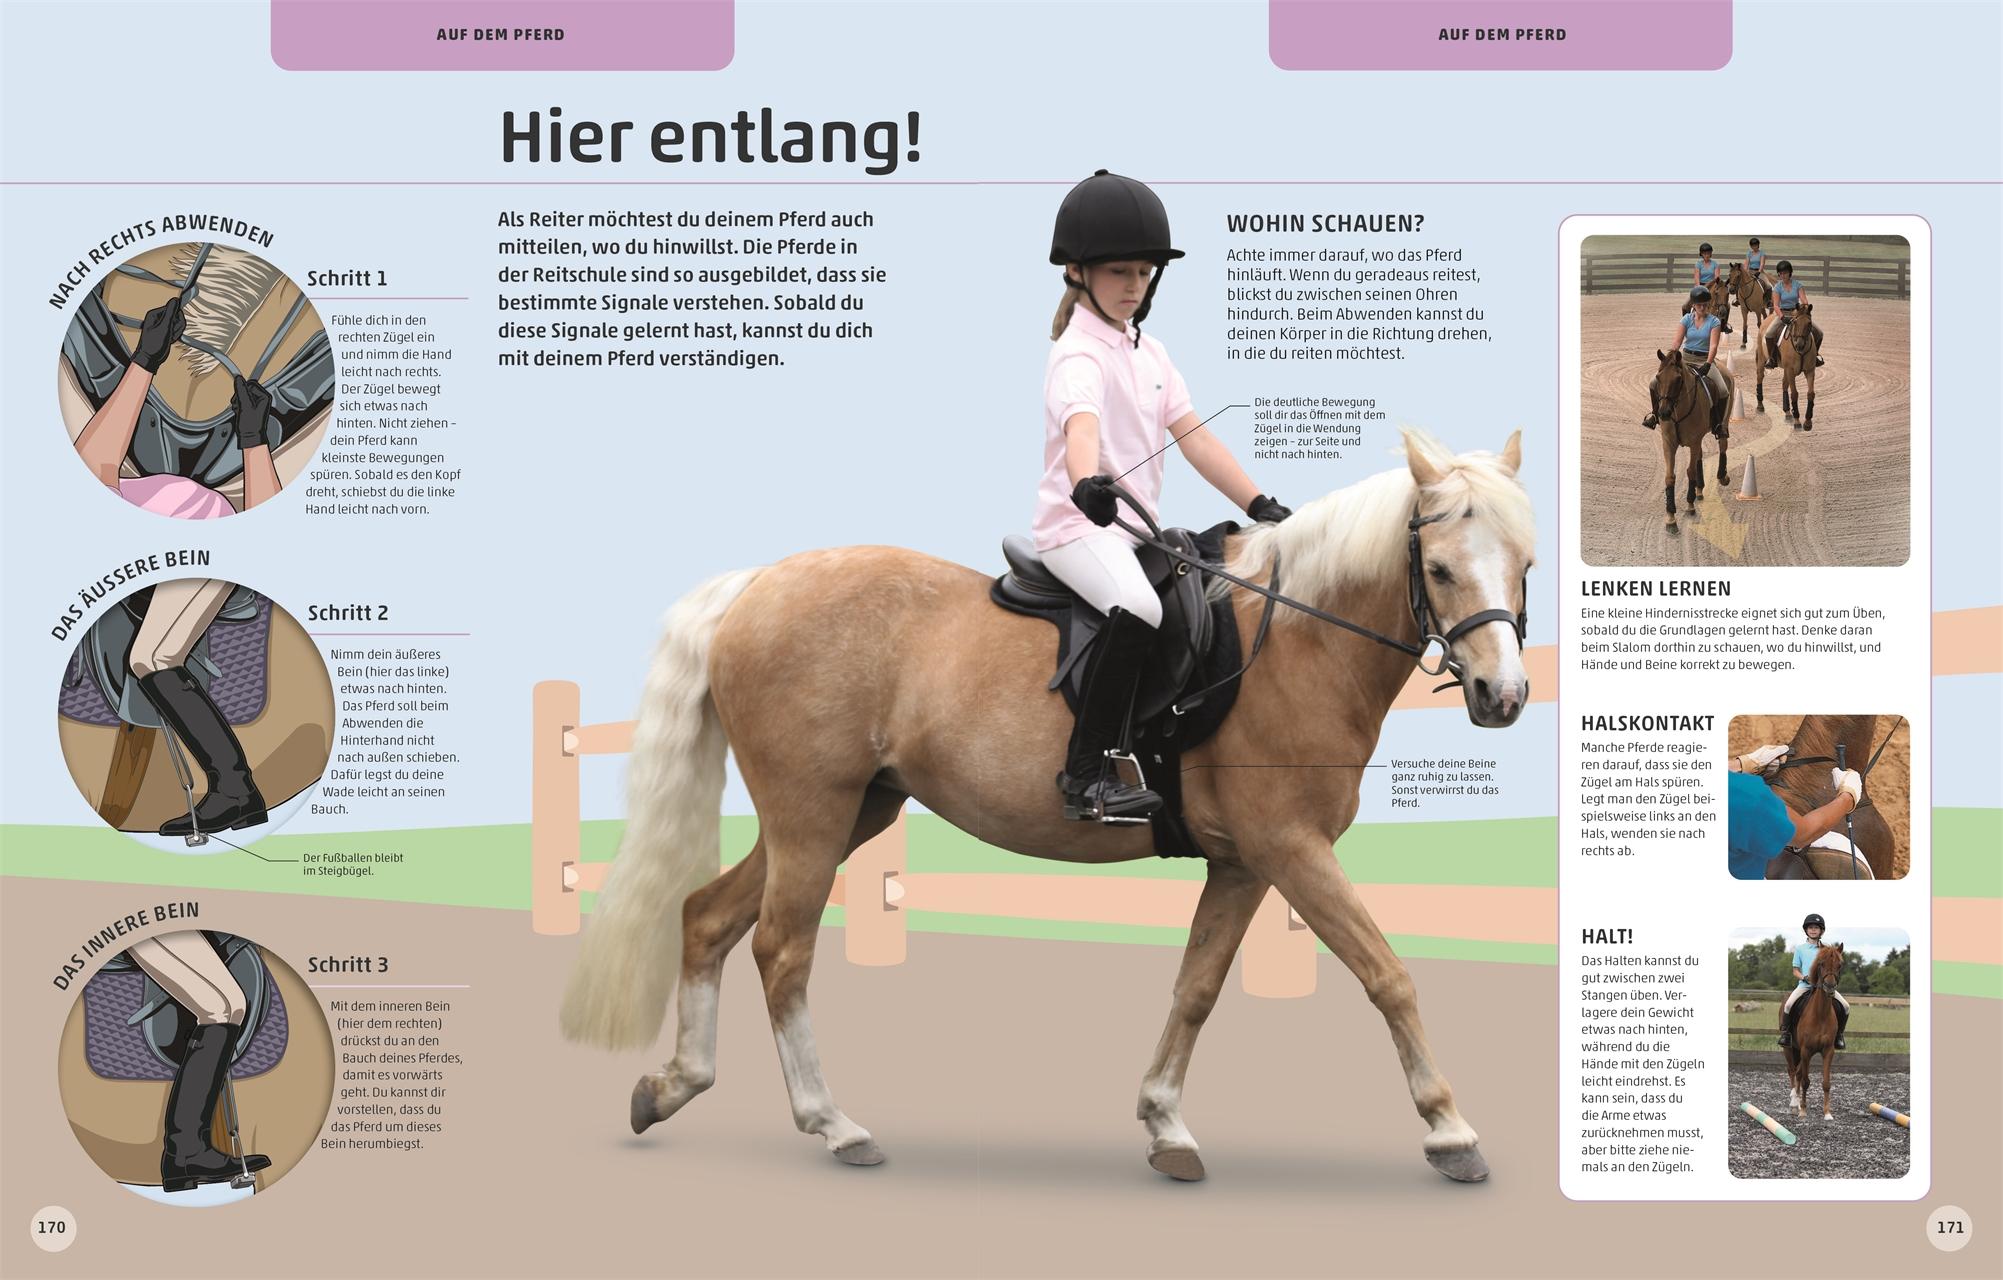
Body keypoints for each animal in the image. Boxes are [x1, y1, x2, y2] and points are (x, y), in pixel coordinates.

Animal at [559, 428, 1534, 1185]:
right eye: (1438, 568)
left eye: (1525, 564)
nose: (1503, 696)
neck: (1294, 639)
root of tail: (755, 584)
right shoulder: (1291, 848)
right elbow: (1386, 973)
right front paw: (1449, 1131)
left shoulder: (1241, 862)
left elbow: (1196, 988)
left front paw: (1164, 1123)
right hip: (812, 813)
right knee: (781, 949)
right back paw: (833, 1124)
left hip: (847, 813)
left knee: (706, 916)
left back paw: (671, 1086)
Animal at [1648, 348, 1732, 532]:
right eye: (1658, 377)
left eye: (1678, 379)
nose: (1663, 413)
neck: (1678, 410)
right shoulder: (1668, 444)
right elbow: (1670, 477)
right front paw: (1671, 517)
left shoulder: (1693, 441)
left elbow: (1690, 471)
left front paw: (1689, 505)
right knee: (1700, 456)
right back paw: (1699, 489)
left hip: (1724, 419)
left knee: (1723, 444)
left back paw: (1722, 477)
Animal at [1782, 943, 1844, 1120]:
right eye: (1821, 964)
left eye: (1840, 965)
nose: (1829, 987)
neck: (1820, 1013)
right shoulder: (1806, 1050)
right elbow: (1805, 1081)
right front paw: (1803, 1111)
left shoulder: (1828, 1051)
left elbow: (1826, 1083)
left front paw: (1827, 1113)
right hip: (1790, 1048)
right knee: (1793, 1072)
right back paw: (1794, 1104)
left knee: (1797, 1073)